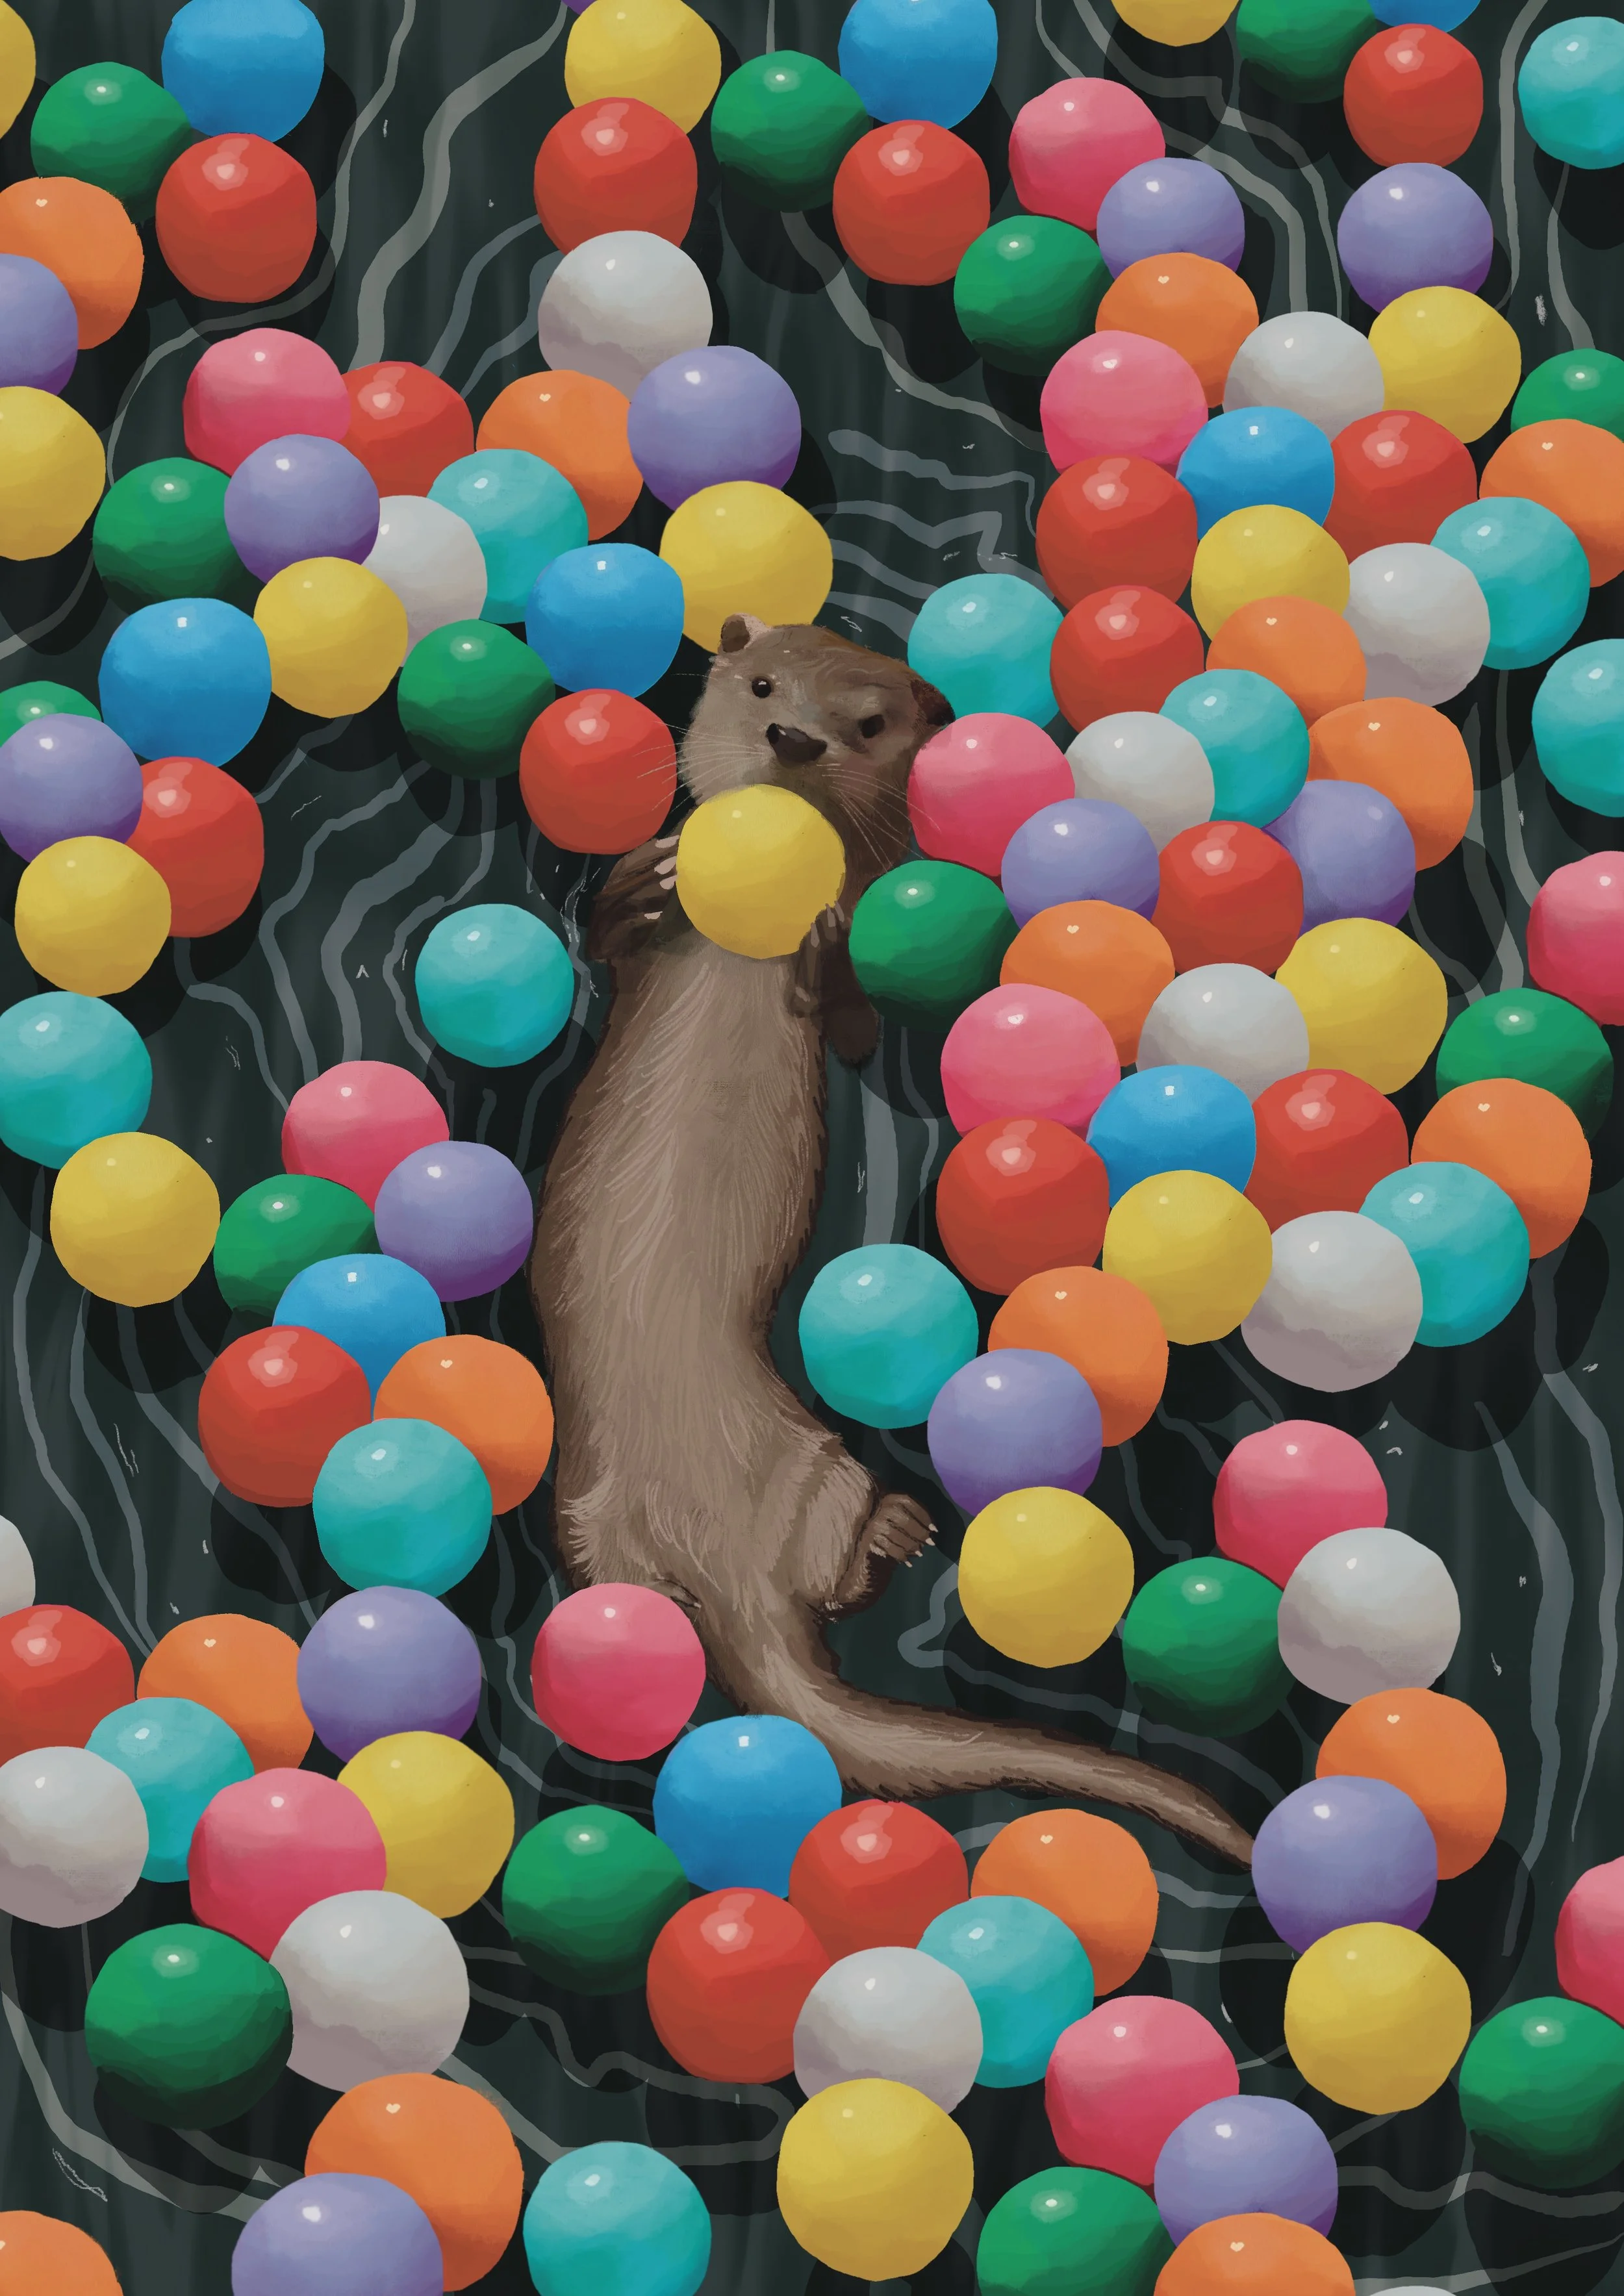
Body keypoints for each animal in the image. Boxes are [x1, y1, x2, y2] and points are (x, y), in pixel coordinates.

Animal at [529, 615, 1251, 1868]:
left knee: (835, 1569)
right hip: (593, 1511)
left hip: (817, 1466)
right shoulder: (630, 960)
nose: (792, 737)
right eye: (763, 682)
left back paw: (903, 1531)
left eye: (866, 723)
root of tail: (719, 1563)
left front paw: (823, 946)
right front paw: (641, 879)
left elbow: (853, 1015)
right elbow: (611, 938)